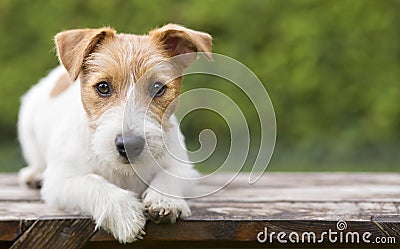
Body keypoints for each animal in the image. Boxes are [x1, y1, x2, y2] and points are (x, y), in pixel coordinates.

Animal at [18, 23, 212, 243]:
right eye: (103, 87)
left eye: (158, 88)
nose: (129, 144)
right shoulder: (60, 182)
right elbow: (92, 183)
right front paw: (125, 213)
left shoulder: (185, 169)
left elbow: (171, 175)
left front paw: (165, 199)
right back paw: (33, 174)